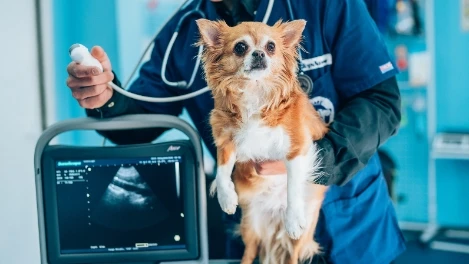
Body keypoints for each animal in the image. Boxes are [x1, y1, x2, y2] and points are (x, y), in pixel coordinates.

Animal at [196, 19, 328, 264]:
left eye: (271, 47)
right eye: (240, 47)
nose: (259, 53)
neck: (254, 90)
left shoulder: (296, 148)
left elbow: (293, 184)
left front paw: (293, 217)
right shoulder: (226, 141)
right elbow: (221, 170)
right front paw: (226, 197)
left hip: (299, 237)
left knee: (293, 254)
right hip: (250, 225)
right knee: (249, 251)